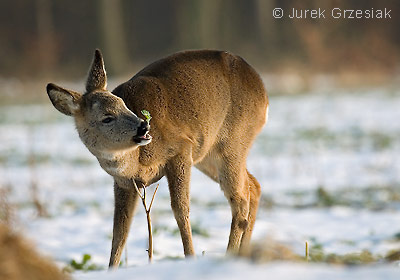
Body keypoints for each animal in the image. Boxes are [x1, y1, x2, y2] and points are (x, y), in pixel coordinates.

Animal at [47, 49, 270, 268]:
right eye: (107, 118)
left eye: (123, 105)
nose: (144, 126)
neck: (136, 161)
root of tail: (263, 92)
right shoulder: (124, 183)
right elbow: (120, 230)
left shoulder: (181, 148)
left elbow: (180, 210)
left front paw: (190, 257)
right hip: (207, 155)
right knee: (253, 186)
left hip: (232, 143)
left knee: (240, 201)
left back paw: (230, 255)